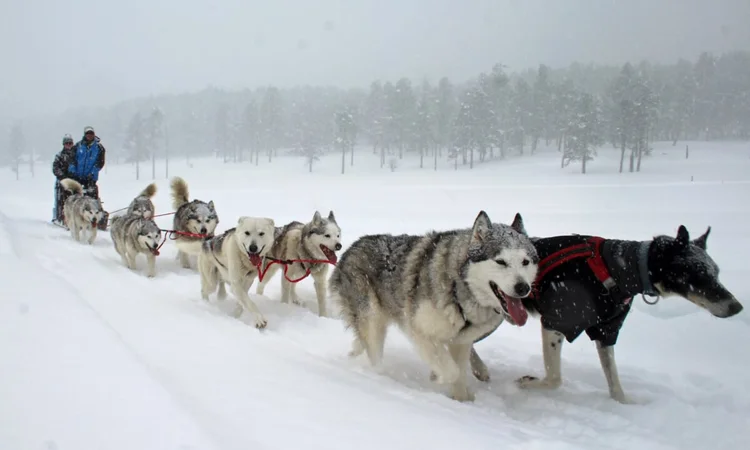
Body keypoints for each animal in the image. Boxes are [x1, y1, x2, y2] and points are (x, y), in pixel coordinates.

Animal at [329, 211, 537, 402]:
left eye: (525, 262)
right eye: (500, 261)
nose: (523, 287)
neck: (458, 289)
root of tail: (351, 248)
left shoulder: (461, 342)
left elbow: (460, 373)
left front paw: (461, 399)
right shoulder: (419, 331)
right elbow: (452, 371)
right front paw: (437, 378)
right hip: (372, 321)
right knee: (374, 355)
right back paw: (382, 377)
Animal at [467, 224, 744, 404]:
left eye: (716, 272)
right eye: (698, 274)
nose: (737, 307)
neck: (619, 268)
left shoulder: (606, 331)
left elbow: (614, 383)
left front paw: (624, 403)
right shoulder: (557, 323)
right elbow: (555, 378)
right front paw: (526, 382)